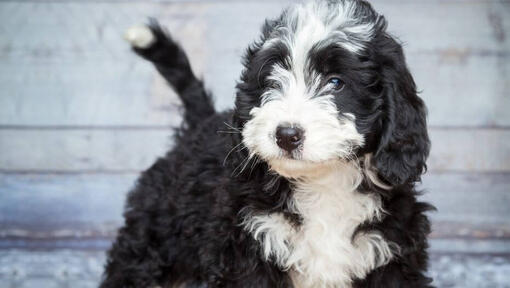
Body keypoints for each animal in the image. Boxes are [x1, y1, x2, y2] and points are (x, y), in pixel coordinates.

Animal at [102, 1, 434, 286]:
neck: (322, 183)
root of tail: (200, 123)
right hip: (153, 234)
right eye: (273, 80)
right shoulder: (247, 249)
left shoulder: (393, 253)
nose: (286, 134)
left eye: (336, 82)